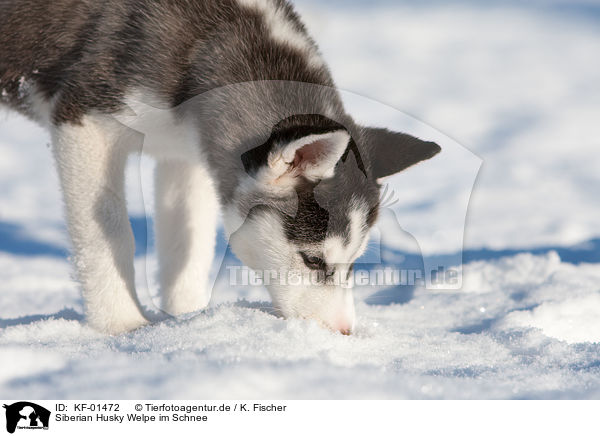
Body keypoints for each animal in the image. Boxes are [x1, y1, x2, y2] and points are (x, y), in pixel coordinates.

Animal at [0, 0, 440, 334]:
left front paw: (187, 319)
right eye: (313, 260)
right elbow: (108, 234)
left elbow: (188, 247)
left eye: (353, 262)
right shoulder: (85, 123)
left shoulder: (186, 154)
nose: (344, 331)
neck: (205, 39)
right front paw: (123, 326)